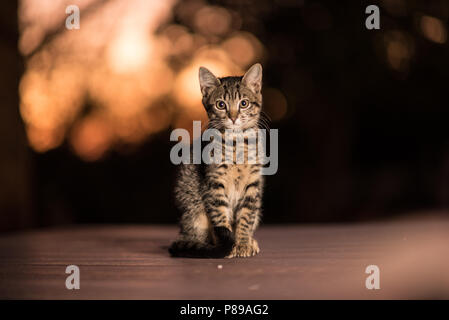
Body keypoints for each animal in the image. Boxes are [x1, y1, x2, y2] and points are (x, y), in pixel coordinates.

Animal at [170, 63, 264, 258]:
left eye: (244, 103)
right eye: (221, 105)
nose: (233, 117)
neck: (236, 143)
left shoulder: (253, 185)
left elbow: (246, 217)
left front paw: (243, 243)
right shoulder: (214, 184)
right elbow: (220, 217)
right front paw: (228, 245)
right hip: (192, 207)